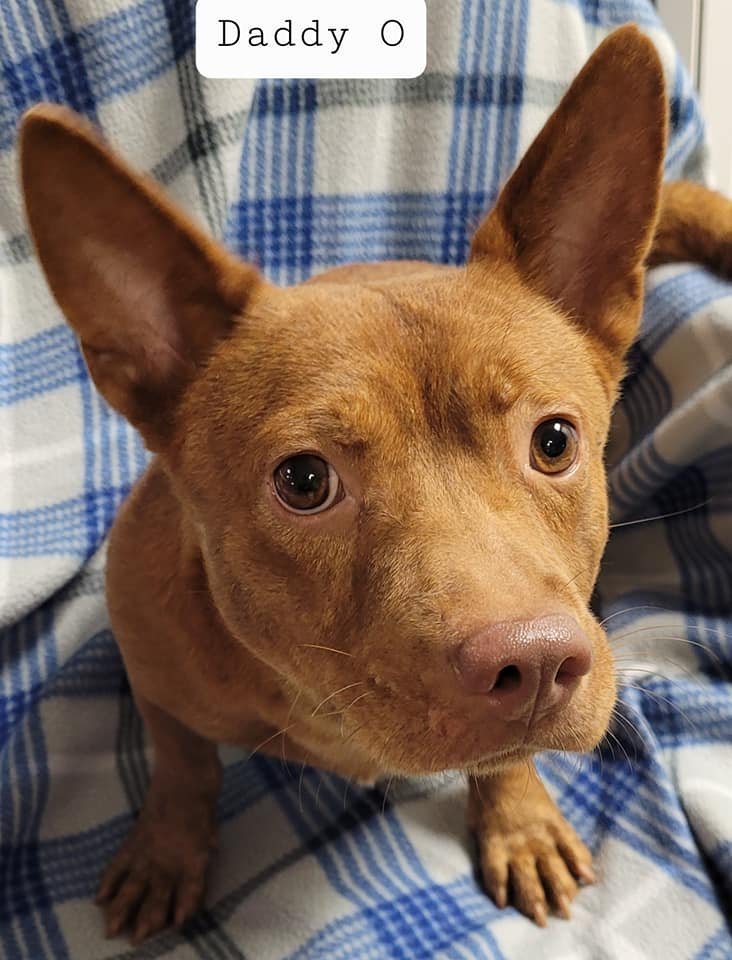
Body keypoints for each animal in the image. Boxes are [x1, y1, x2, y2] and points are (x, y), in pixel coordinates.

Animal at [19, 24, 732, 944]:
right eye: (304, 480)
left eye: (554, 442)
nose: (536, 664)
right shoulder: (154, 673)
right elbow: (182, 768)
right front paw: (167, 850)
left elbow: (509, 760)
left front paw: (520, 819)